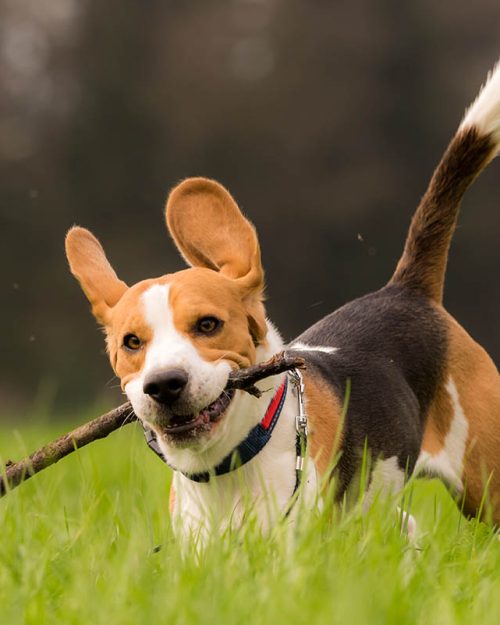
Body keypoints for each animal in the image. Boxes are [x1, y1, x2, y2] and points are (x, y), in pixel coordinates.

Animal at [66, 61, 500, 540]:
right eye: (131, 343)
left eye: (208, 325)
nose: (163, 384)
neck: (226, 470)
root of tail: (407, 289)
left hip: (486, 484)